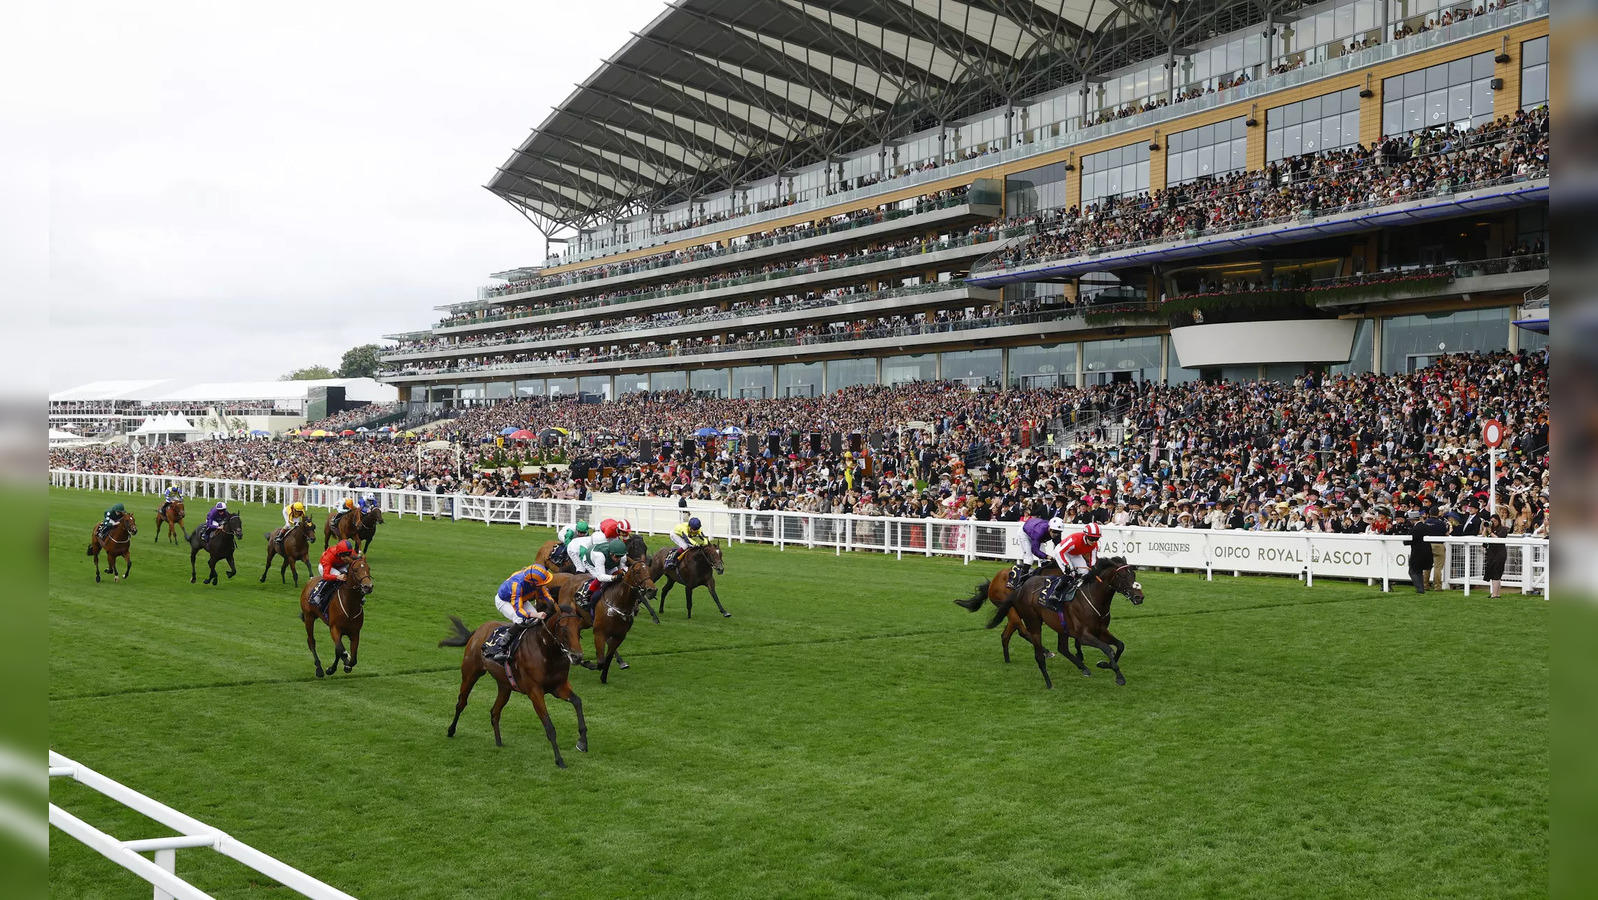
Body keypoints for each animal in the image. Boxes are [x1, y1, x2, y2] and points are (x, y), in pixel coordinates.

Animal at [437, 604, 588, 767]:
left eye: (579, 628)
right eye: (564, 628)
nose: (577, 657)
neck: (546, 651)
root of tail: (478, 631)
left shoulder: (559, 686)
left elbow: (578, 702)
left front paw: (582, 743)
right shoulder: (535, 692)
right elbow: (549, 726)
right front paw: (559, 760)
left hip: (504, 686)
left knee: (494, 712)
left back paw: (498, 742)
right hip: (470, 673)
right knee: (461, 703)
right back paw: (451, 730)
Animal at [977, 556, 1144, 690]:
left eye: (1133, 574)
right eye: (1122, 576)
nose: (1139, 597)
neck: (1093, 598)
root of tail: (1020, 588)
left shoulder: (1101, 631)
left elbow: (1120, 646)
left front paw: (1104, 664)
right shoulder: (1084, 636)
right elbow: (1108, 649)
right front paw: (1119, 677)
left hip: (1060, 626)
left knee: (1061, 647)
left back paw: (1083, 668)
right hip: (1031, 621)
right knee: (1035, 650)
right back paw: (1049, 681)